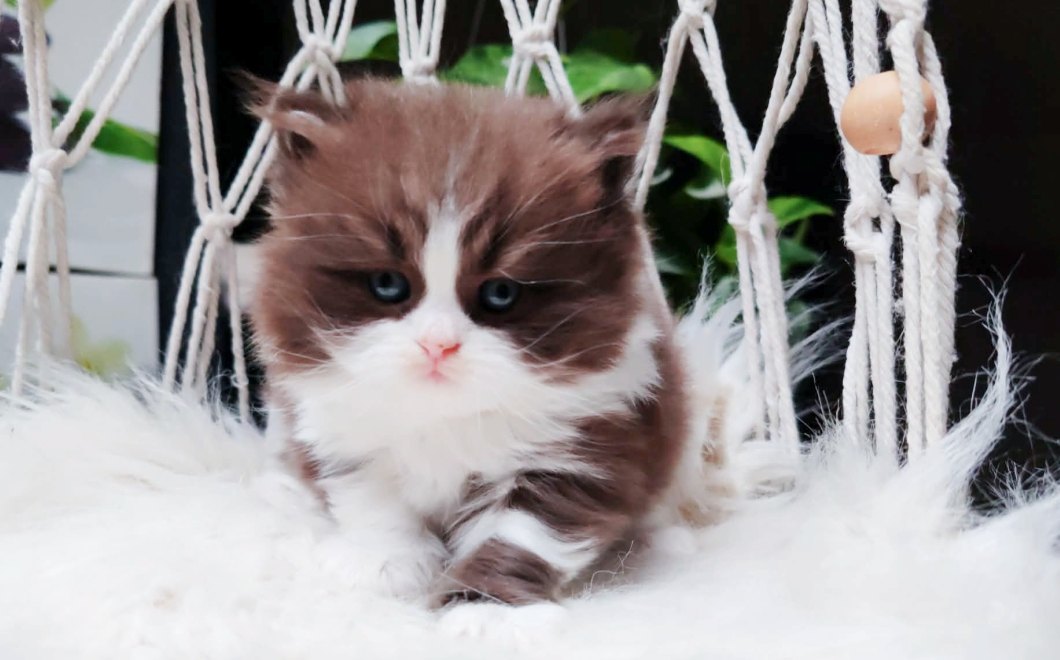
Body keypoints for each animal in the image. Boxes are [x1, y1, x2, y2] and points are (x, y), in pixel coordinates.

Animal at [247, 77, 721, 612]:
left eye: (500, 294)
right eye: (388, 285)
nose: (438, 345)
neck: (442, 415)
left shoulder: (581, 447)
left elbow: (521, 534)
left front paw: (483, 608)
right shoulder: (341, 430)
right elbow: (372, 502)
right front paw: (386, 564)